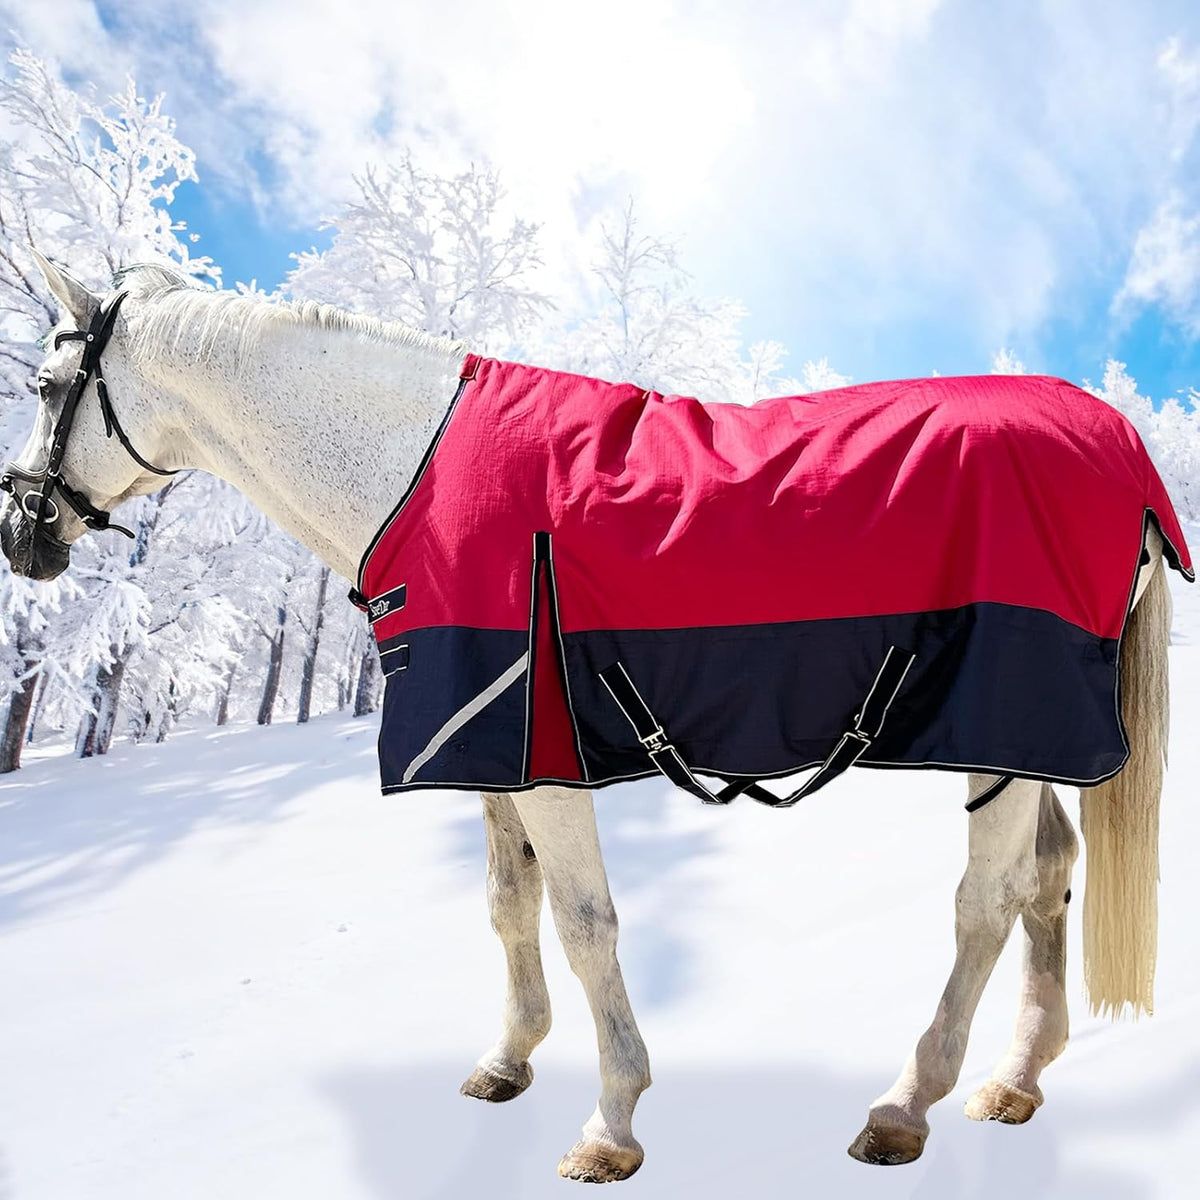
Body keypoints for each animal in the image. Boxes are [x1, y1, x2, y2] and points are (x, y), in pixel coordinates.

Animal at [0, 250, 1183, 1183]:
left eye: (50, 382)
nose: (21, 532)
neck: (413, 471)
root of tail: (1119, 443)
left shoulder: (544, 756)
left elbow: (582, 922)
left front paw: (612, 1121)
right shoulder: (489, 747)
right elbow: (507, 905)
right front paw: (509, 1058)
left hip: (1001, 726)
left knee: (987, 902)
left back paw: (905, 1105)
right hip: (1026, 742)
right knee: (1049, 876)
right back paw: (1016, 1079)